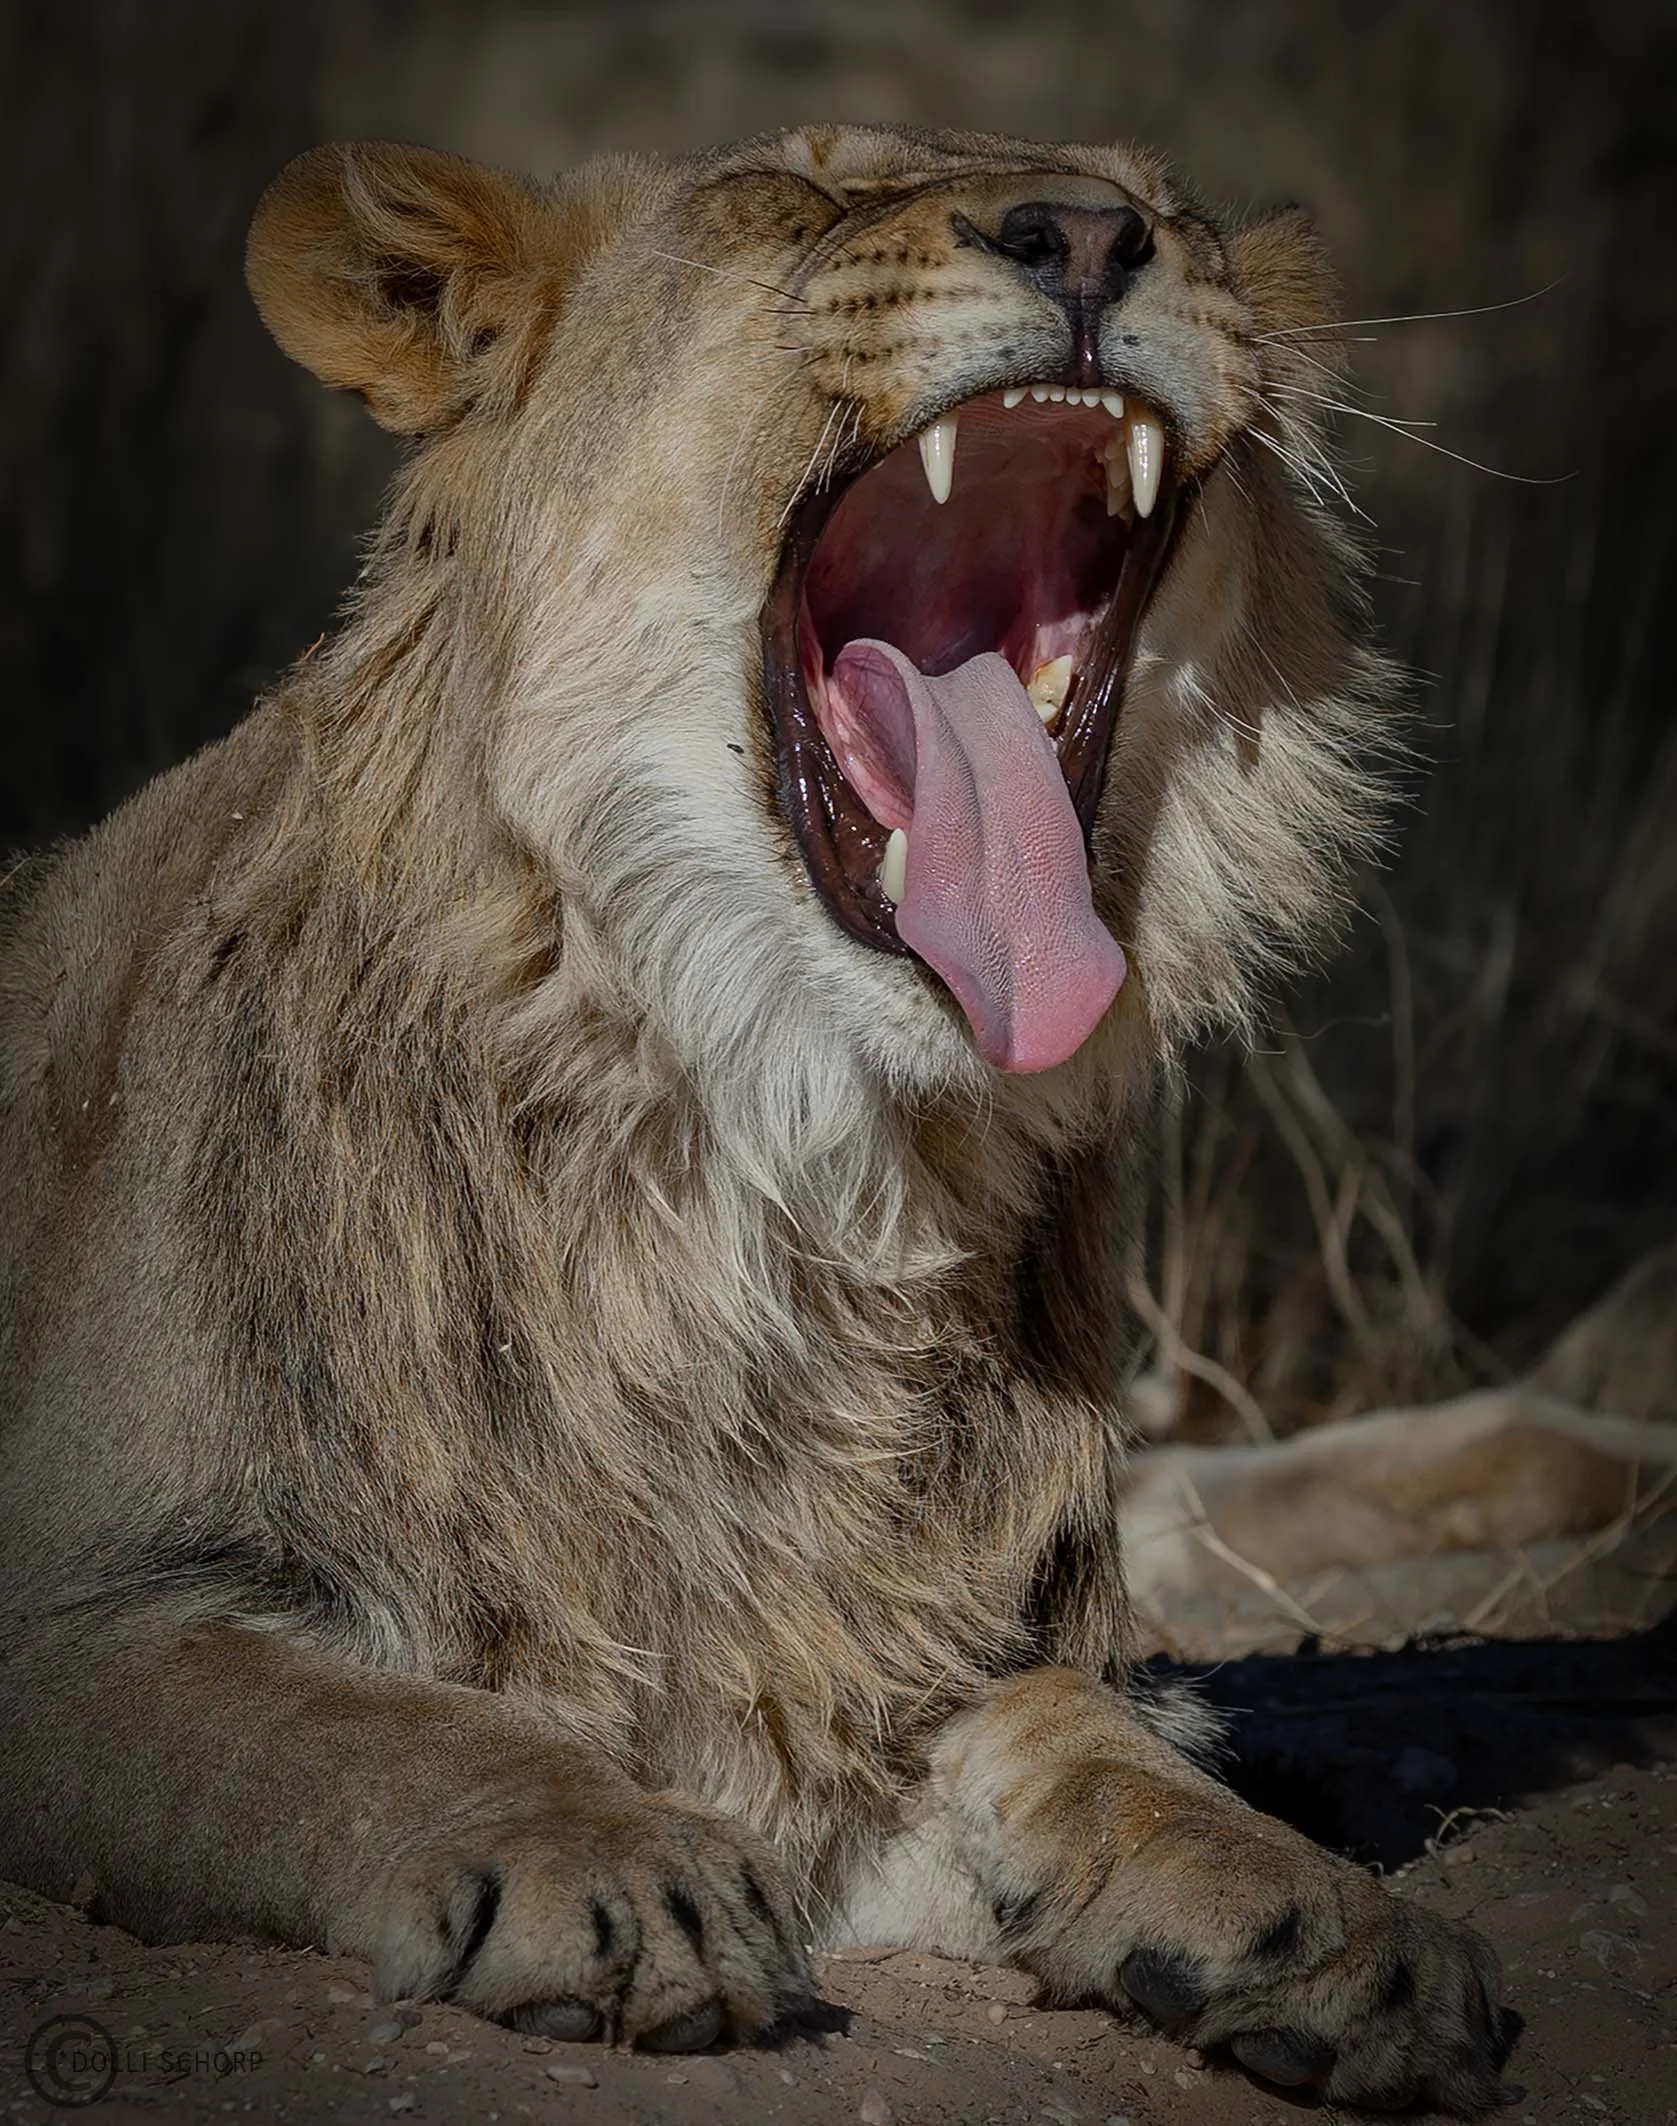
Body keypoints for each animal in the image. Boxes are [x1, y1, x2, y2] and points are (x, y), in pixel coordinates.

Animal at [0, 125, 1520, 2112]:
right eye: (796, 195)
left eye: (1163, 202)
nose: (1092, 235)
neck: (787, 1174)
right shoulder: (83, 1609)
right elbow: (348, 1721)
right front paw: (595, 1857)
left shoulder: (880, 1662)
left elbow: (1097, 1740)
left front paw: (1326, 1921)